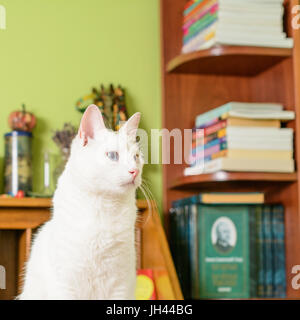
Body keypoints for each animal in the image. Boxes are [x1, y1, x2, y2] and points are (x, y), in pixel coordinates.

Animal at [19, 105, 144, 300]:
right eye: (113, 156)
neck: (105, 206)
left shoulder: (119, 285)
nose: (135, 171)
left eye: (136, 157)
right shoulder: (66, 284)